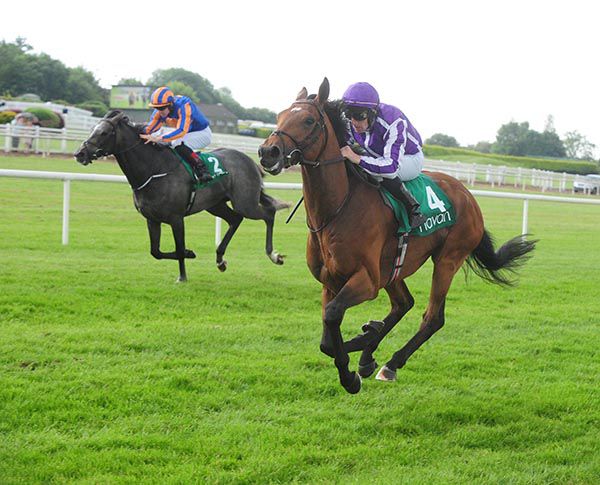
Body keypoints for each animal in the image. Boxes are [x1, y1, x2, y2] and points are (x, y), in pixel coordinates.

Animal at [75, 110, 288, 282]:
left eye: (103, 132)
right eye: (92, 129)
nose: (79, 153)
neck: (155, 169)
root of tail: (251, 162)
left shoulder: (176, 218)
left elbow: (177, 248)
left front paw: (182, 276)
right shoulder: (152, 219)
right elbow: (155, 252)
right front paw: (190, 253)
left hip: (245, 202)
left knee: (268, 213)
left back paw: (273, 255)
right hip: (215, 204)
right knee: (235, 219)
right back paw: (220, 260)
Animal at [258, 77, 536, 392]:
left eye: (307, 120)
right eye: (280, 116)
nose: (268, 152)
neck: (335, 211)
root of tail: (468, 195)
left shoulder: (366, 281)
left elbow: (332, 318)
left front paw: (351, 376)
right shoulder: (330, 280)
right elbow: (327, 338)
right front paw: (361, 348)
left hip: (447, 260)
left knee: (432, 317)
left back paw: (390, 363)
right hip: (393, 268)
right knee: (404, 303)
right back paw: (369, 351)